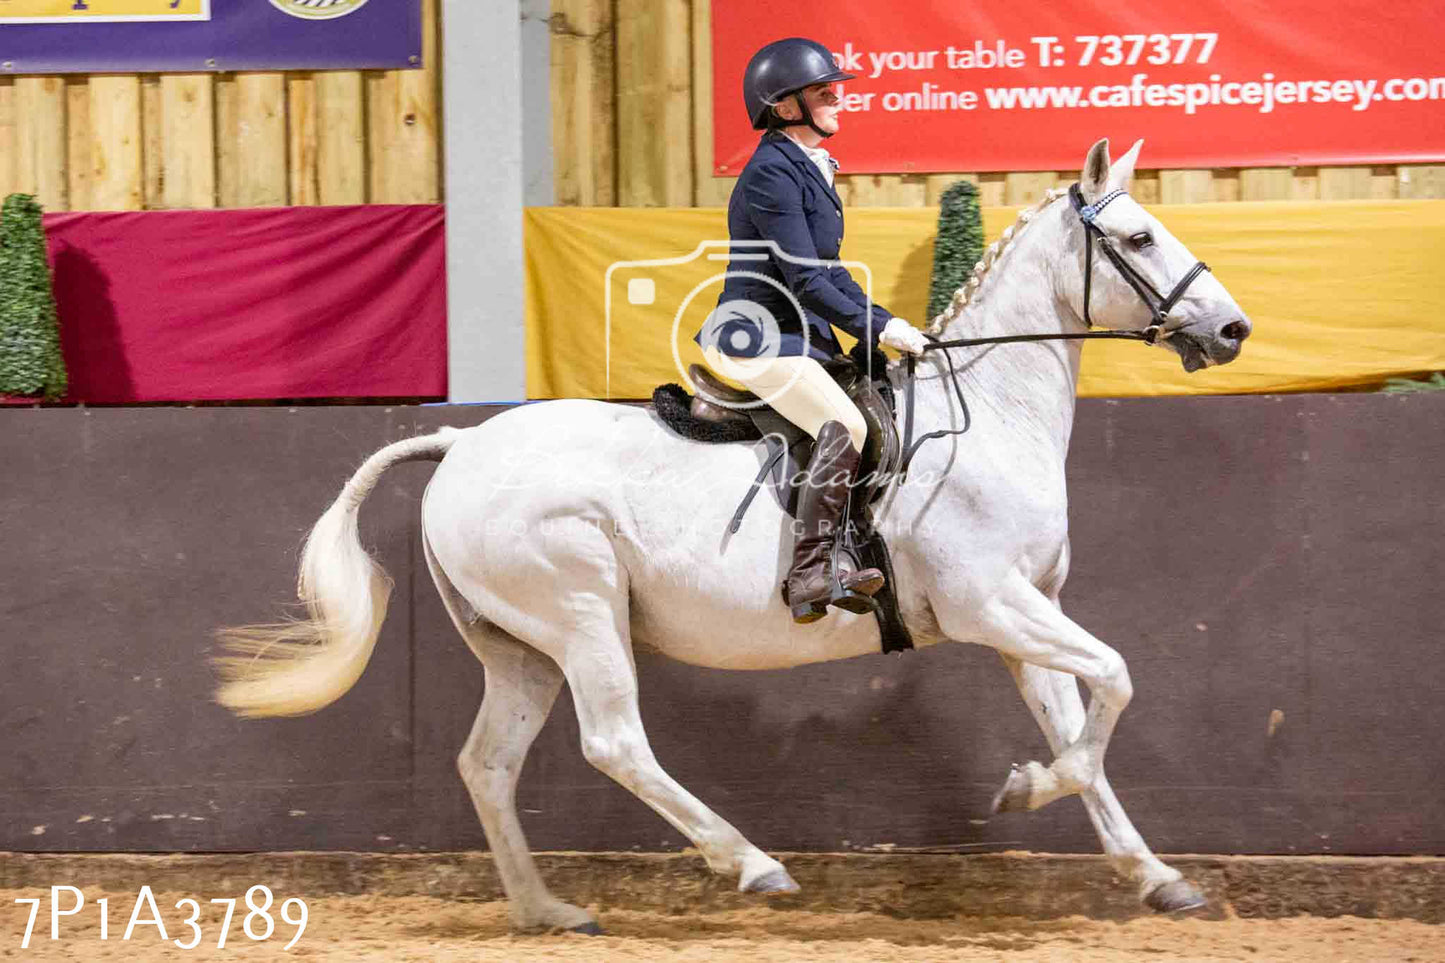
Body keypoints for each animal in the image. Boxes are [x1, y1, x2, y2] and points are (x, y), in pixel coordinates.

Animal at [216, 138, 1254, 925]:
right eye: (1137, 236)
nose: (1232, 330)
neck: (989, 415)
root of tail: (462, 439)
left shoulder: (1025, 611)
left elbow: (1082, 718)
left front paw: (1151, 873)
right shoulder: (990, 604)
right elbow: (1115, 679)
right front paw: (1028, 786)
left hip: (522, 646)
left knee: (488, 762)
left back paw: (545, 910)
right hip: (582, 613)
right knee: (614, 742)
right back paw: (750, 862)